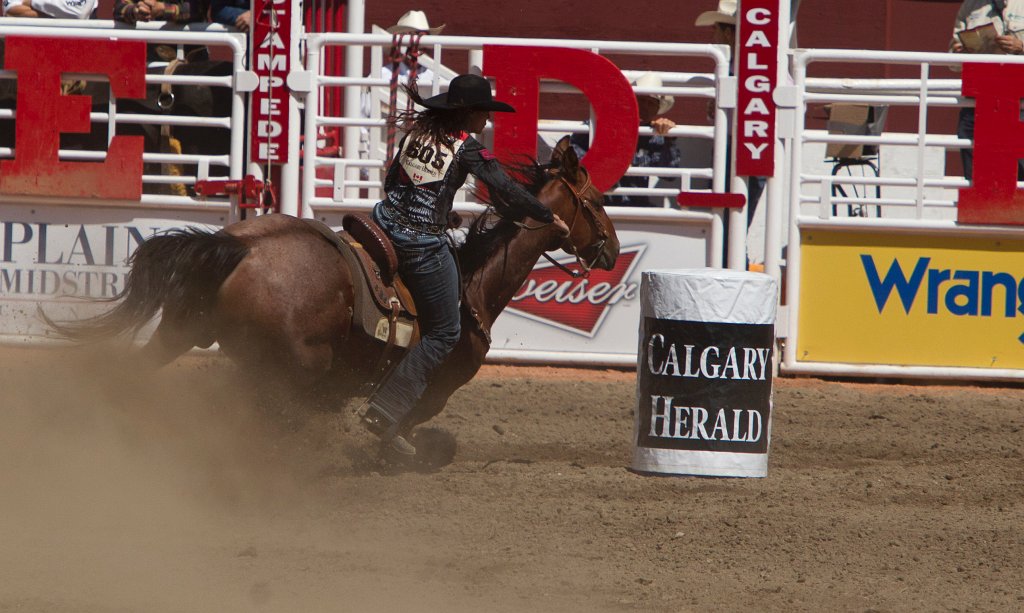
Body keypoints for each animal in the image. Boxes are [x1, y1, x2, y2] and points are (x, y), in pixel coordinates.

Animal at [48, 134, 618, 448]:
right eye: (593, 200)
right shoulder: (433, 390)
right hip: (295, 367)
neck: (474, 281)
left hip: (183, 331)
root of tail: (238, 246)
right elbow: (396, 424)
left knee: (128, 379)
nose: (611, 249)